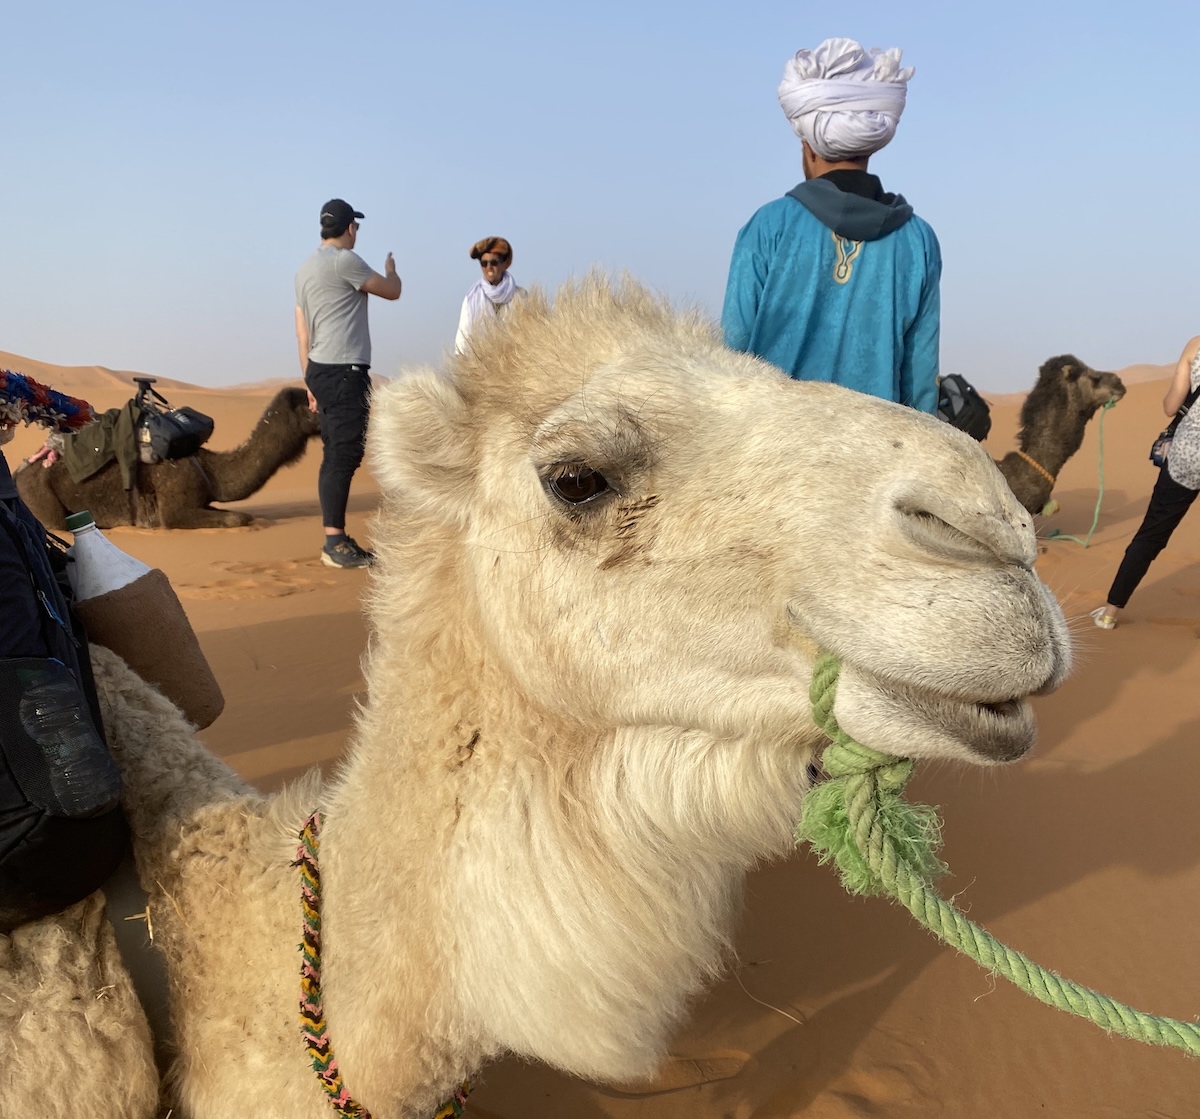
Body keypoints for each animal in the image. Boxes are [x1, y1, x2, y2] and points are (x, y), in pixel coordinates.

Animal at [12, 386, 321, 529]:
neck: (209, 468)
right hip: (39, 500)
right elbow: (239, 518)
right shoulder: (175, 509)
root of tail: (16, 475)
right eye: (311, 405)